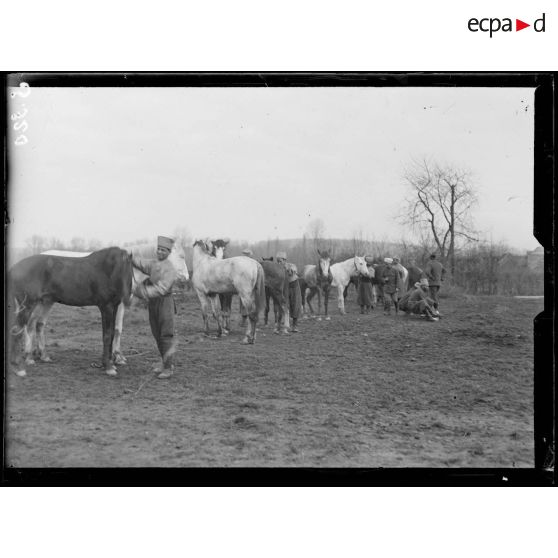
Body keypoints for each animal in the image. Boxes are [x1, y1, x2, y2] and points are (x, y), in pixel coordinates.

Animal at [8, 248, 133, 376]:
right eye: (119, 269)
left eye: (129, 270)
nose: (127, 298)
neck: (107, 271)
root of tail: (14, 267)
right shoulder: (106, 307)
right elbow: (107, 335)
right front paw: (108, 367)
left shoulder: (114, 307)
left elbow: (112, 333)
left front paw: (110, 363)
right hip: (28, 304)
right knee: (17, 330)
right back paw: (18, 368)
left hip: (44, 302)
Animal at [40, 245, 190, 368]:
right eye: (181, 256)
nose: (186, 277)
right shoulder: (118, 304)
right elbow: (117, 329)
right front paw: (117, 357)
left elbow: (115, 329)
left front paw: (114, 357)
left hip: (47, 302)